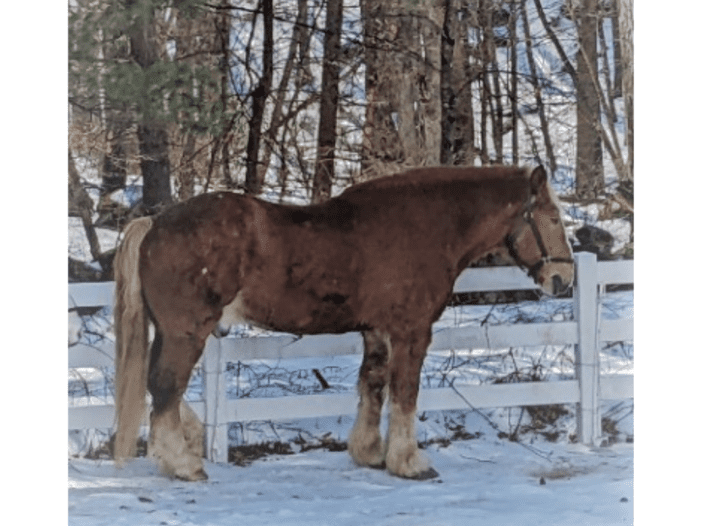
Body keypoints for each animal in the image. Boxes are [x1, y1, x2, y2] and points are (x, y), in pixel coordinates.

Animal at [113, 165, 576, 482]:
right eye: (553, 218)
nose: (563, 279)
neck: (425, 226)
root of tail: (155, 223)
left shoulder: (376, 331)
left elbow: (373, 385)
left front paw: (370, 453)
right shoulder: (411, 331)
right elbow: (405, 393)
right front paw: (410, 462)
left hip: (172, 331)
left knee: (158, 386)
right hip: (186, 331)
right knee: (165, 386)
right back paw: (183, 463)